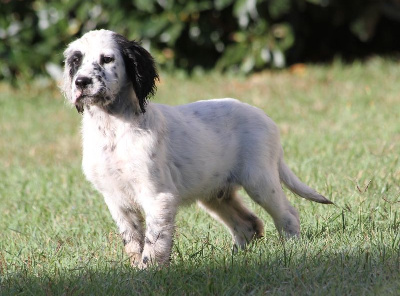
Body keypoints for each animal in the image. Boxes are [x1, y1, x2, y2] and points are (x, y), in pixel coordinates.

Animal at [61, 29, 332, 268]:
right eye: (76, 61)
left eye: (107, 59)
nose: (81, 82)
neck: (113, 128)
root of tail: (266, 119)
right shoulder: (116, 199)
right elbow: (133, 242)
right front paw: (135, 271)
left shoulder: (157, 196)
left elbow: (154, 242)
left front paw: (150, 273)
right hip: (214, 193)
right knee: (249, 224)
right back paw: (236, 257)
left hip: (260, 180)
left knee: (288, 214)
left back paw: (293, 249)